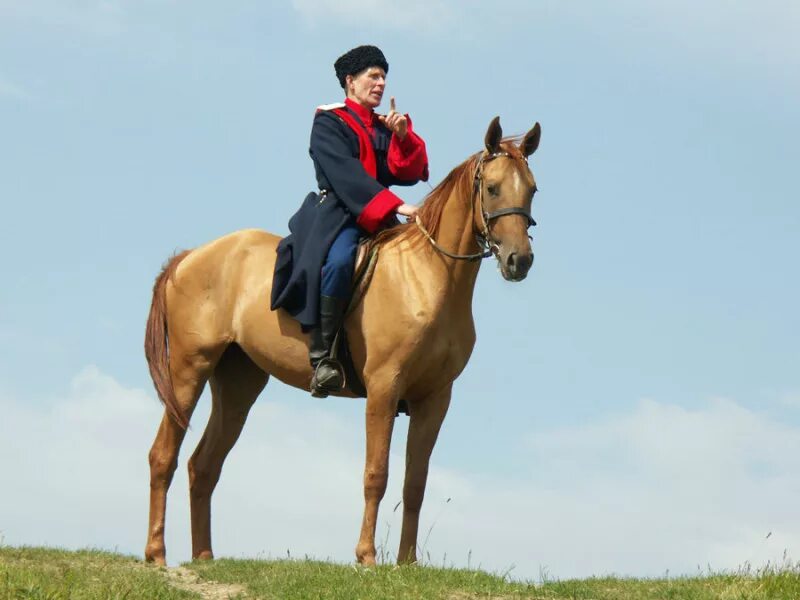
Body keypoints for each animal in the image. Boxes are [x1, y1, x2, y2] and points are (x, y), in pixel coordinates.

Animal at [144, 116, 544, 568]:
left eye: (532, 189)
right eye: (492, 188)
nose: (519, 260)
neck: (429, 275)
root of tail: (189, 257)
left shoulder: (435, 398)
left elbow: (415, 483)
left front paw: (407, 562)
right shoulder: (384, 389)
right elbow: (377, 474)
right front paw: (366, 556)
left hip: (238, 384)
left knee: (204, 465)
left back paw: (204, 556)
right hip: (188, 371)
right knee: (163, 455)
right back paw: (156, 553)